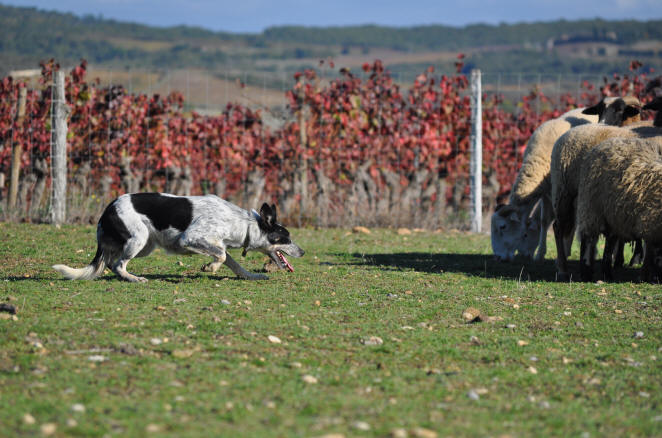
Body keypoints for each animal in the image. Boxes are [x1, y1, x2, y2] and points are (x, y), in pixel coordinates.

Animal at [52, 193, 306, 282]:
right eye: (286, 237)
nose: (303, 252)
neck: (242, 223)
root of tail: (107, 209)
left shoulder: (217, 243)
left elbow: (234, 263)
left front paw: (252, 276)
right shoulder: (190, 238)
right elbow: (222, 256)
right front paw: (209, 268)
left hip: (145, 245)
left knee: (110, 262)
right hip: (138, 239)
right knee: (117, 264)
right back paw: (134, 279)